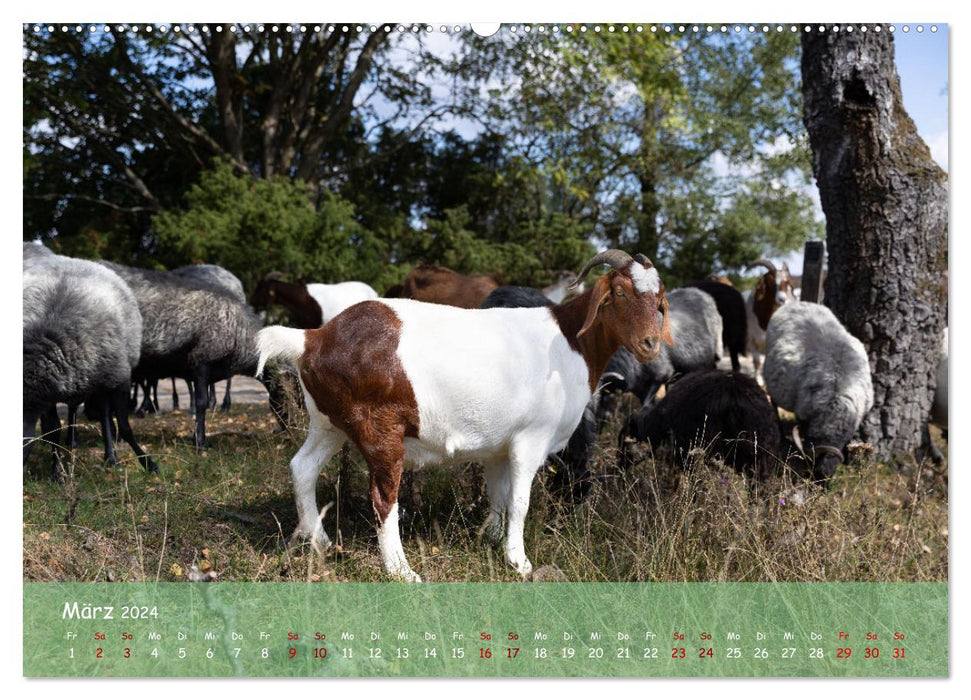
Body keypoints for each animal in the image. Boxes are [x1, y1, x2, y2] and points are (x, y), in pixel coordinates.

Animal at [23, 247, 158, 482]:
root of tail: (76, 260)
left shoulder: (120, 379)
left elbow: (124, 427)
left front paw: (148, 462)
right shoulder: (47, 392)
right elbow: (53, 429)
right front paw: (57, 473)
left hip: (105, 377)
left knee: (105, 416)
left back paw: (111, 457)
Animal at [254, 250, 672, 580]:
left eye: (659, 299)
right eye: (619, 292)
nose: (650, 343)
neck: (569, 341)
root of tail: (312, 338)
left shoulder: (500, 446)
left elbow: (499, 495)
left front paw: (492, 539)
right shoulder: (530, 440)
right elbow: (520, 502)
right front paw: (519, 561)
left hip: (329, 422)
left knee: (302, 467)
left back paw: (320, 541)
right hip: (378, 428)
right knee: (383, 497)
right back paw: (402, 571)